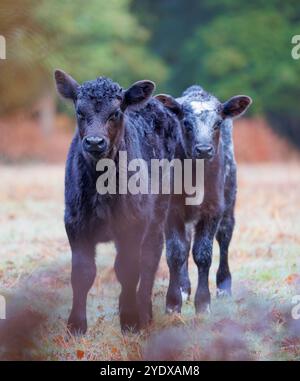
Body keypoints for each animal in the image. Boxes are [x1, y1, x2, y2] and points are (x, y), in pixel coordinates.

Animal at [156, 84, 252, 314]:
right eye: (186, 123)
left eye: (217, 123)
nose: (204, 149)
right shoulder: (171, 210)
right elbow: (176, 252)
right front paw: (173, 303)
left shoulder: (213, 208)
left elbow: (203, 254)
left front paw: (203, 304)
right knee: (185, 243)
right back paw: (184, 288)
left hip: (229, 198)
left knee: (225, 236)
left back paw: (223, 287)